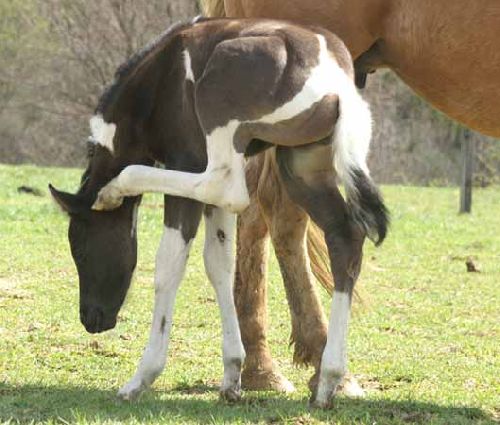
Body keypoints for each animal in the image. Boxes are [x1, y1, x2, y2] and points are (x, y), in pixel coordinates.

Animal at [49, 17, 386, 408]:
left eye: (80, 247)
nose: (91, 319)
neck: (157, 83)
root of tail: (336, 78)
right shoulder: (212, 201)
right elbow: (220, 264)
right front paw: (232, 376)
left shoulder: (186, 165)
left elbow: (168, 266)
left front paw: (141, 377)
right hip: (301, 166)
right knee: (345, 237)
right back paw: (330, 380)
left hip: (227, 135)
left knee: (228, 187)